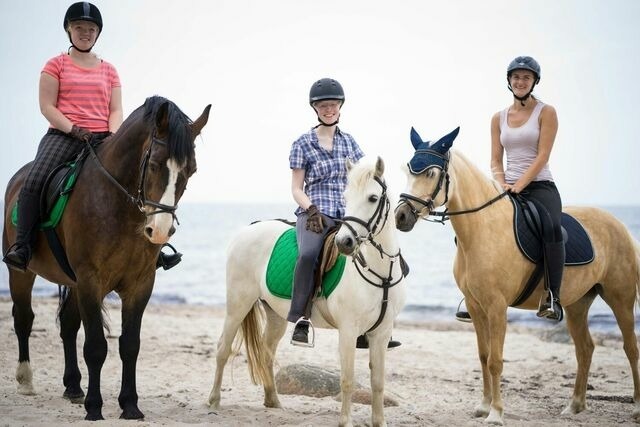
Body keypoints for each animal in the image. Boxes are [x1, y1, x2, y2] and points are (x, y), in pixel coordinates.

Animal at [3, 97, 211, 422]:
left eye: (191, 171)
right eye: (153, 165)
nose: (159, 231)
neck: (118, 205)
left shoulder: (140, 284)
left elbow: (130, 345)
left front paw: (130, 406)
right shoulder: (91, 279)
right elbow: (96, 347)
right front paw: (95, 407)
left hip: (73, 282)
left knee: (67, 325)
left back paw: (73, 387)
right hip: (22, 273)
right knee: (24, 318)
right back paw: (26, 381)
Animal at [210, 157, 410, 427]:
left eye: (372, 198)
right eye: (346, 197)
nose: (344, 243)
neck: (381, 273)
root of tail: (247, 230)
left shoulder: (381, 333)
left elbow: (378, 382)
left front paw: (379, 422)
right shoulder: (348, 331)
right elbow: (347, 379)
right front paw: (345, 421)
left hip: (275, 314)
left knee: (267, 352)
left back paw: (273, 401)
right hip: (238, 305)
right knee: (223, 348)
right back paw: (213, 400)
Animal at [396, 127, 640, 424]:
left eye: (431, 174)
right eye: (408, 171)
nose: (401, 216)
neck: (482, 229)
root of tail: (618, 224)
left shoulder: (497, 307)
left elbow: (495, 360)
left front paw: (496, 413)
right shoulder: (476, 307)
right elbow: (483, 355)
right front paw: (483, 406)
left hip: (620, 298)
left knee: (630, 348)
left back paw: (637, 408)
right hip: (578, 304)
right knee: (585, 349)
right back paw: (574, 405)